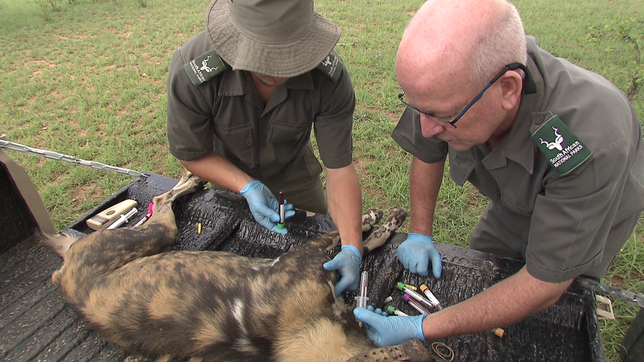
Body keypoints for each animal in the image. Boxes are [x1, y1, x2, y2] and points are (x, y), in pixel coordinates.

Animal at [41, 173, 432, 362]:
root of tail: (65, 276)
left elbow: (356, 249)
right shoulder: (307, 257)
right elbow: (351, 241)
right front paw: (374, 221)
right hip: (154, 234)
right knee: (160, 199)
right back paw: (189, 180)